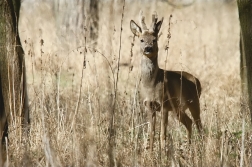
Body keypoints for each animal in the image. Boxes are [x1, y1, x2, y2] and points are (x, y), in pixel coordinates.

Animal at [130, 11, 203, 150]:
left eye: (154, 40)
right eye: (141, 40)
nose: (148, 48)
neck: (151, 85)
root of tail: (197, 81)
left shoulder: (164, 103)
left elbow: (162, 134)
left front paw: (163, 152)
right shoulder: (148, 105)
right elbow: (151, 134)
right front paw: (151, 152)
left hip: (193, 101)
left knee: (199, 125)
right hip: (177, 108)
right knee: (189, 122)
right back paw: (189, 146)